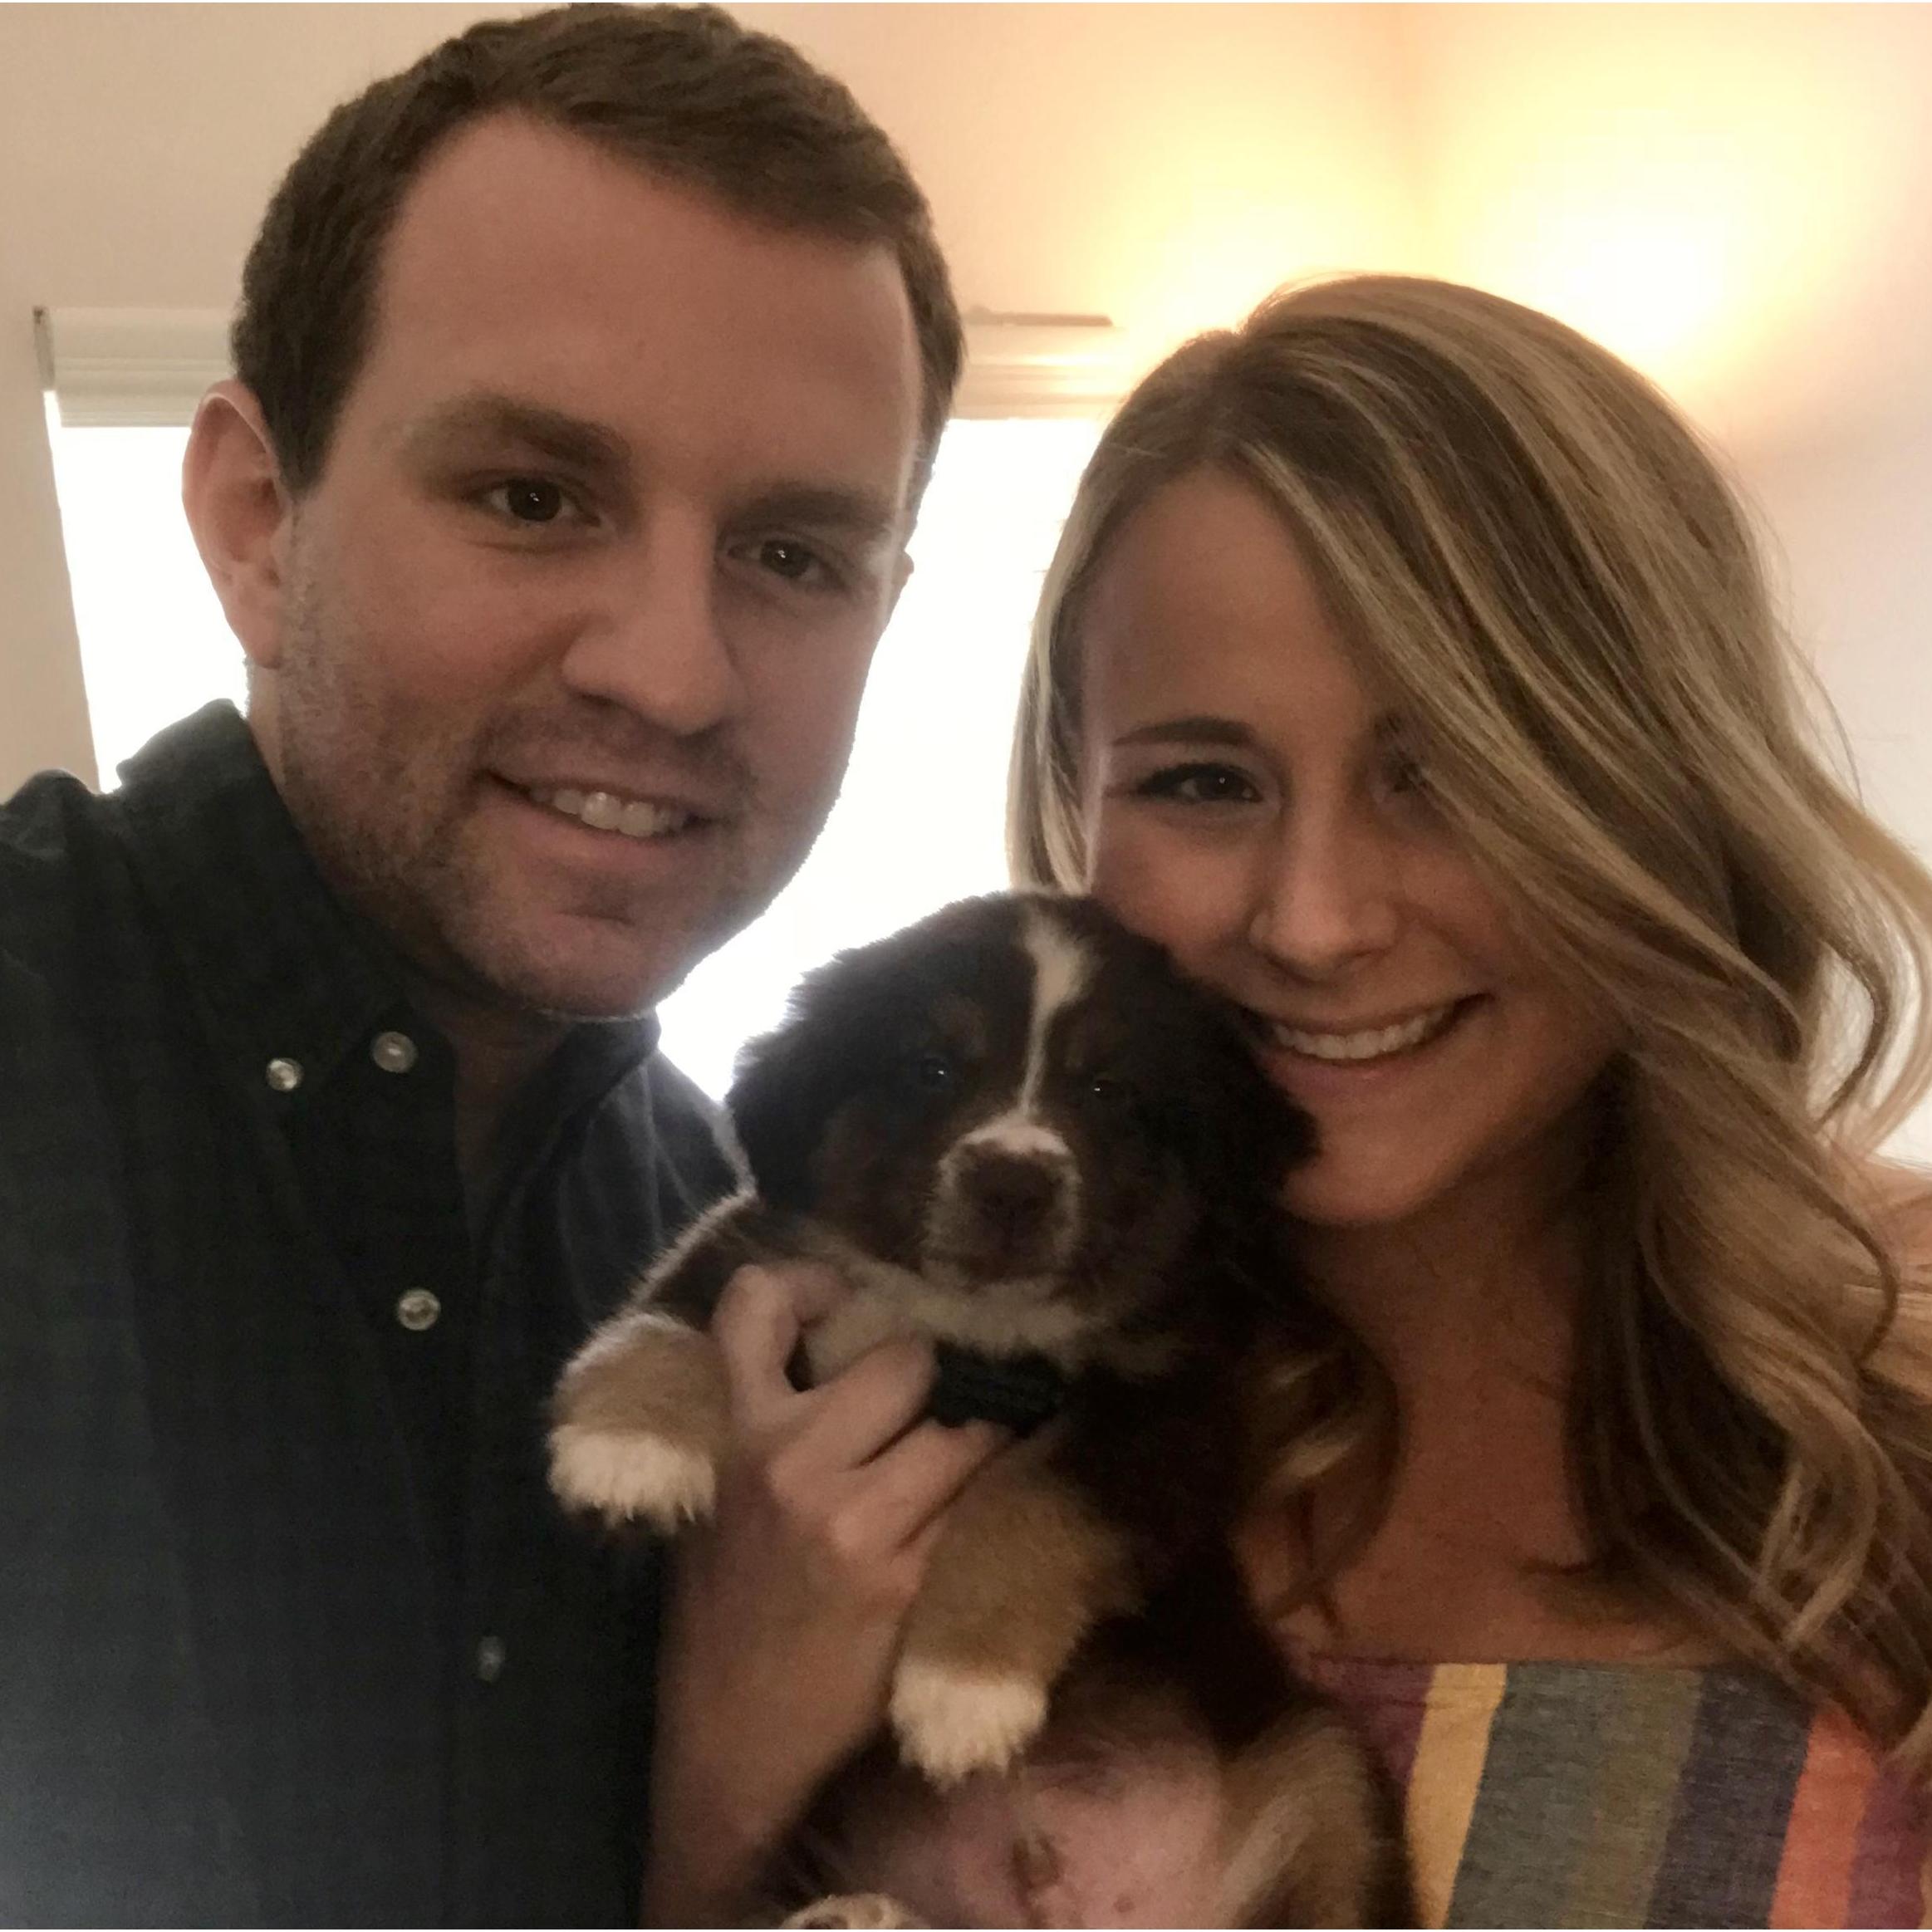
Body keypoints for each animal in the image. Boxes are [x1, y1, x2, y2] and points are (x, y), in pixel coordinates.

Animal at [549, 892, 1408, 1925]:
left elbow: (1026, 1504)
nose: (1013, 1182)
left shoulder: (1166, 1416)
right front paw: (626, 1448)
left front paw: (963, 1687)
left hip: (1327, 1767)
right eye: (931, 1068)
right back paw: (854, 1913)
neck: (959, 1320)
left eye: (1109, 1089)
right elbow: (667, 1320)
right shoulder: (751, 1253)